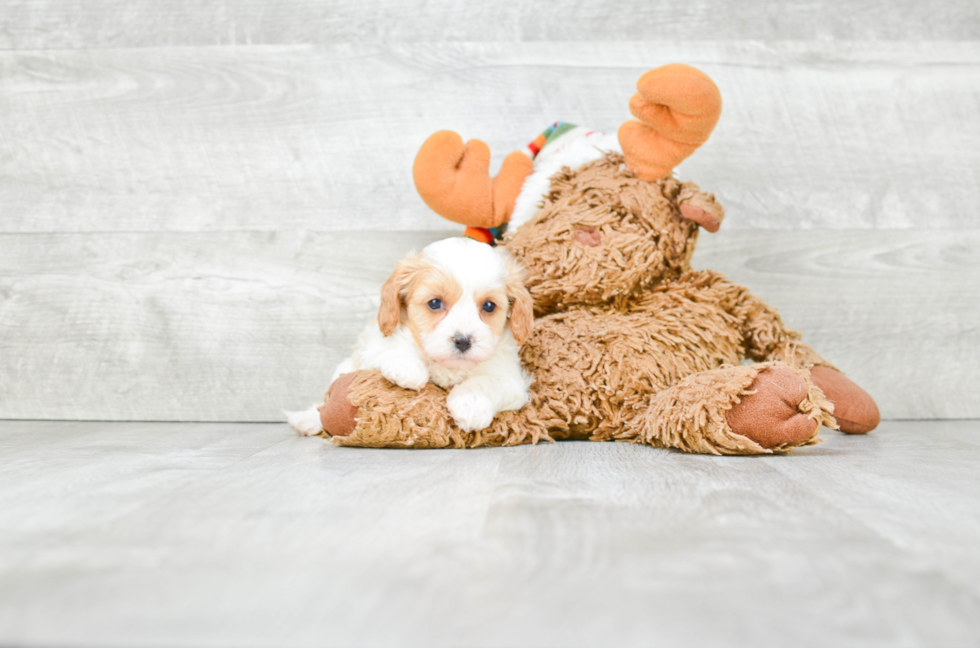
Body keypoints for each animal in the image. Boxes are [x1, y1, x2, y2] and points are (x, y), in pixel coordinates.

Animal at [290, 238, 536, 436]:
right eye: (435, 303)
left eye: (489, 306)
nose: (463, 341)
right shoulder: (373, 346)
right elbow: (391, 347)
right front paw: (408, 369)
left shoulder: (512, 381)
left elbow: (486, 382)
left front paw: (470, 405)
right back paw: (307, 419)